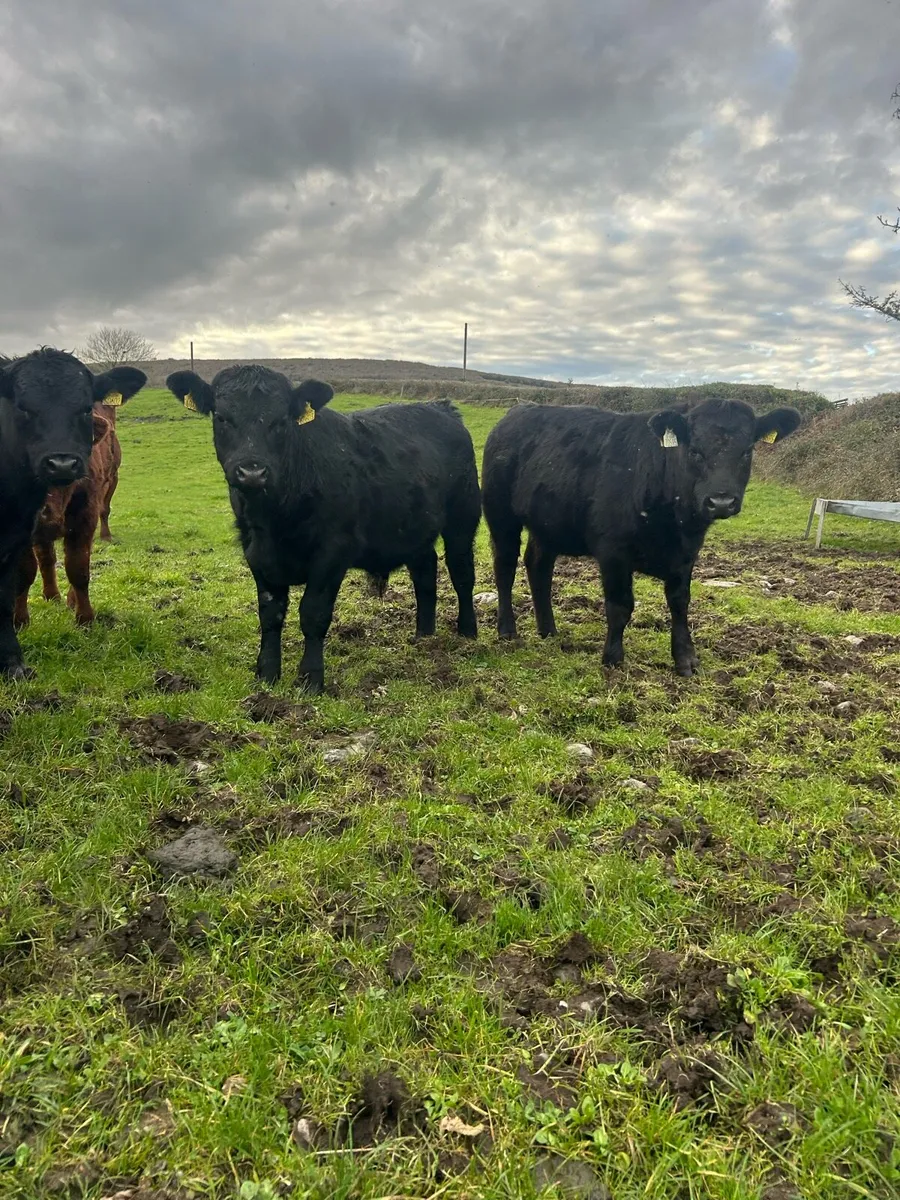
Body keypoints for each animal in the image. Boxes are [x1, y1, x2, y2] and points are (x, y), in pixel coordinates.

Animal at [0, 348, 146, 678]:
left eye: (83, 408)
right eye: (23, 408)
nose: (62, 464)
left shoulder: (85, 517)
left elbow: (78, 568)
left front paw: (85, 618)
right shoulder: (25, 530)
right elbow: (26, 572)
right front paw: (21, 619)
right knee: (46, 559)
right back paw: (51, 594)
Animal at [165, 365, 481, 694]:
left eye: (282, 420)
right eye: (221, 417)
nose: (252, 472)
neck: (275, 517)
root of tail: (440, 406)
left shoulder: (333, 552)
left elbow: (313, 613)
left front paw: (311, 679)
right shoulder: (255, 552)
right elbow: (270, 614)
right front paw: (266, 674)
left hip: (463, 518)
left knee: (461, 574)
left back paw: (467, 632)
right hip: (413, 529)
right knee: (425, 572)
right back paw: (423, 636)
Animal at [481, 397, 801, 676]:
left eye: (747, 451)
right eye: (695, 451)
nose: (721, 501)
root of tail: (519, 411)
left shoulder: (687, 555)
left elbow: (680, 603)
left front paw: (686, 659)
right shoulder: (613, 552)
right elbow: (620, 606)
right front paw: (613, 658)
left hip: (548, 524)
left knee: (539, 566)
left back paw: (548, 630)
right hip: (500, 515)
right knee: (505, 568)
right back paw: (507, 630)